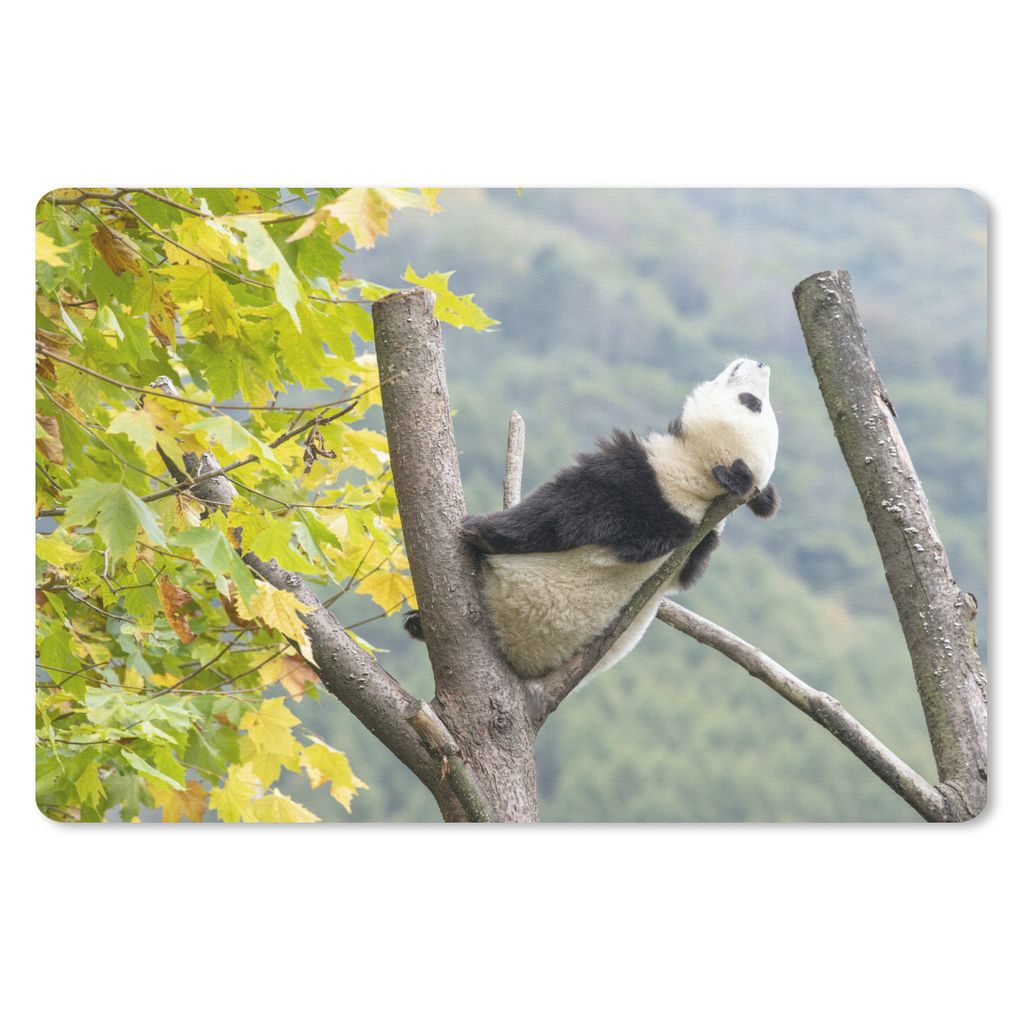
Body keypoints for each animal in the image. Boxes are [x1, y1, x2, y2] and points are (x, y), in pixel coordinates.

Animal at [405, 357, 780, 681]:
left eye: (751, 403)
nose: (761, 364)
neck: (702, 485)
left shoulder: (647, 488)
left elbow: (560, 514)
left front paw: (478, 527)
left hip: (508, 599)